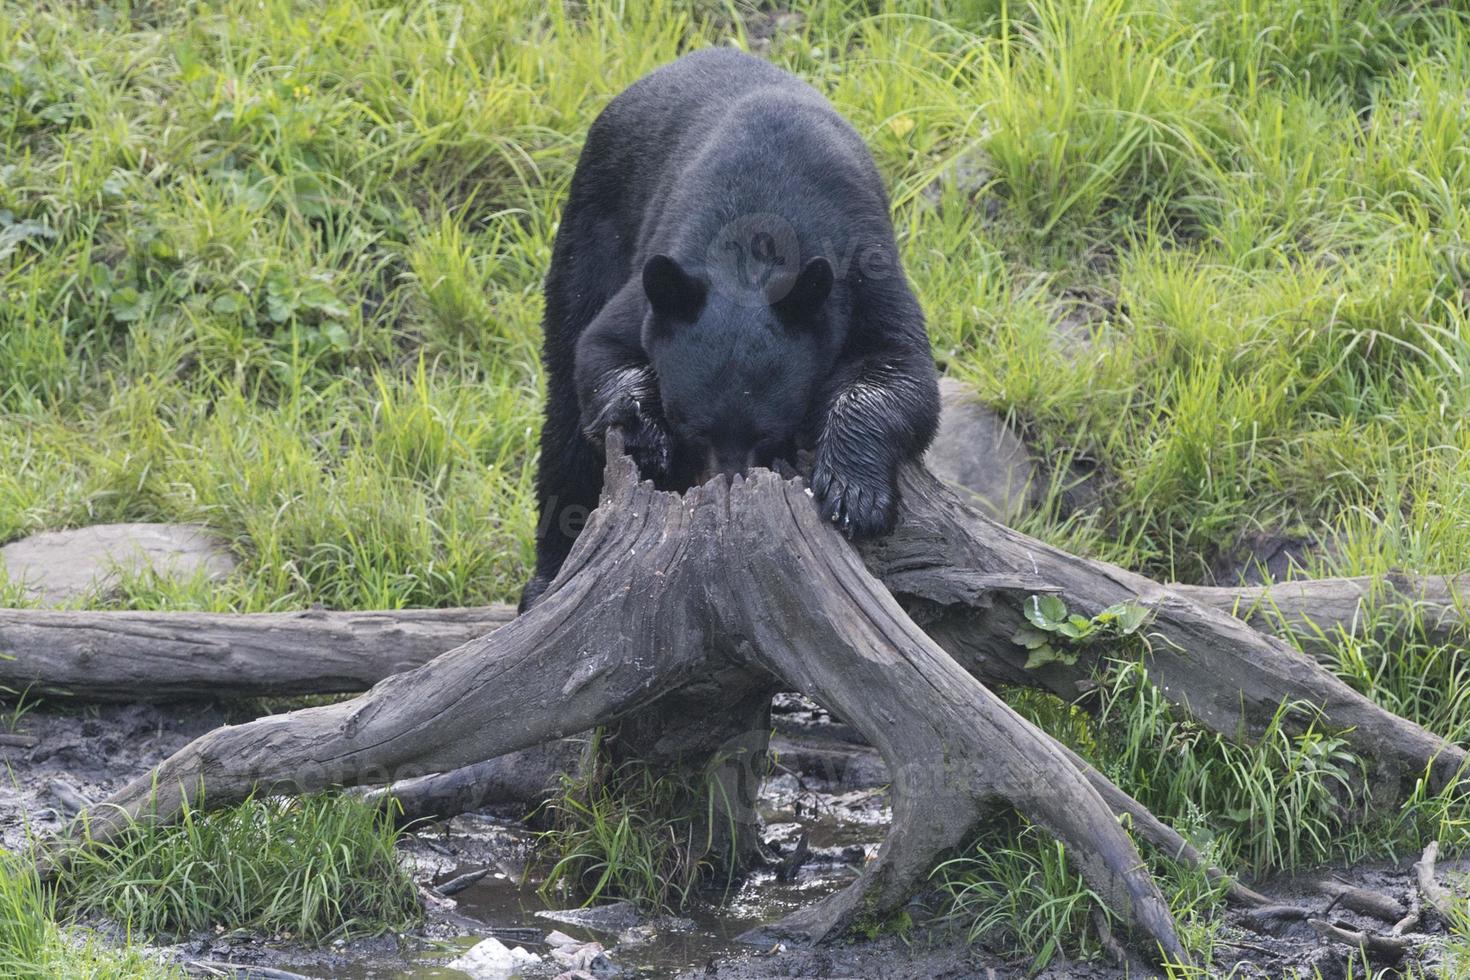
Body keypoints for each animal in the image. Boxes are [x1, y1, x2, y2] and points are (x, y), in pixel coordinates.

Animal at [526, 47, 940, 614]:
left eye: (770, 431)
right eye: (693, 429)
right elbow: (601, 344)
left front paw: (853, 495)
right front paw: (648, 435)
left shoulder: (863, 263)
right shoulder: (664, 269)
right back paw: (547, 575)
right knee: (566, 395)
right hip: (595, 221)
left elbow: (900, 365)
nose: (726, 488)